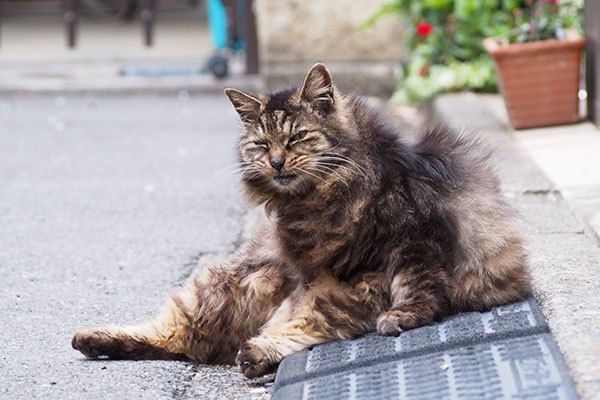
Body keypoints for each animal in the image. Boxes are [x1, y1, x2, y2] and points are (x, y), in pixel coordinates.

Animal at [72, 62, 532, 378]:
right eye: (261, 144)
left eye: (296, 137)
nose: (276, 162)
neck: (321, 199)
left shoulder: (413, 238)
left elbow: (418, 285)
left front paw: (404, 316)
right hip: (232, 283)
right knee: (182, 335)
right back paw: (96, 340)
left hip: (339, 288)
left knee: (266, 331)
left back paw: (254, 355)